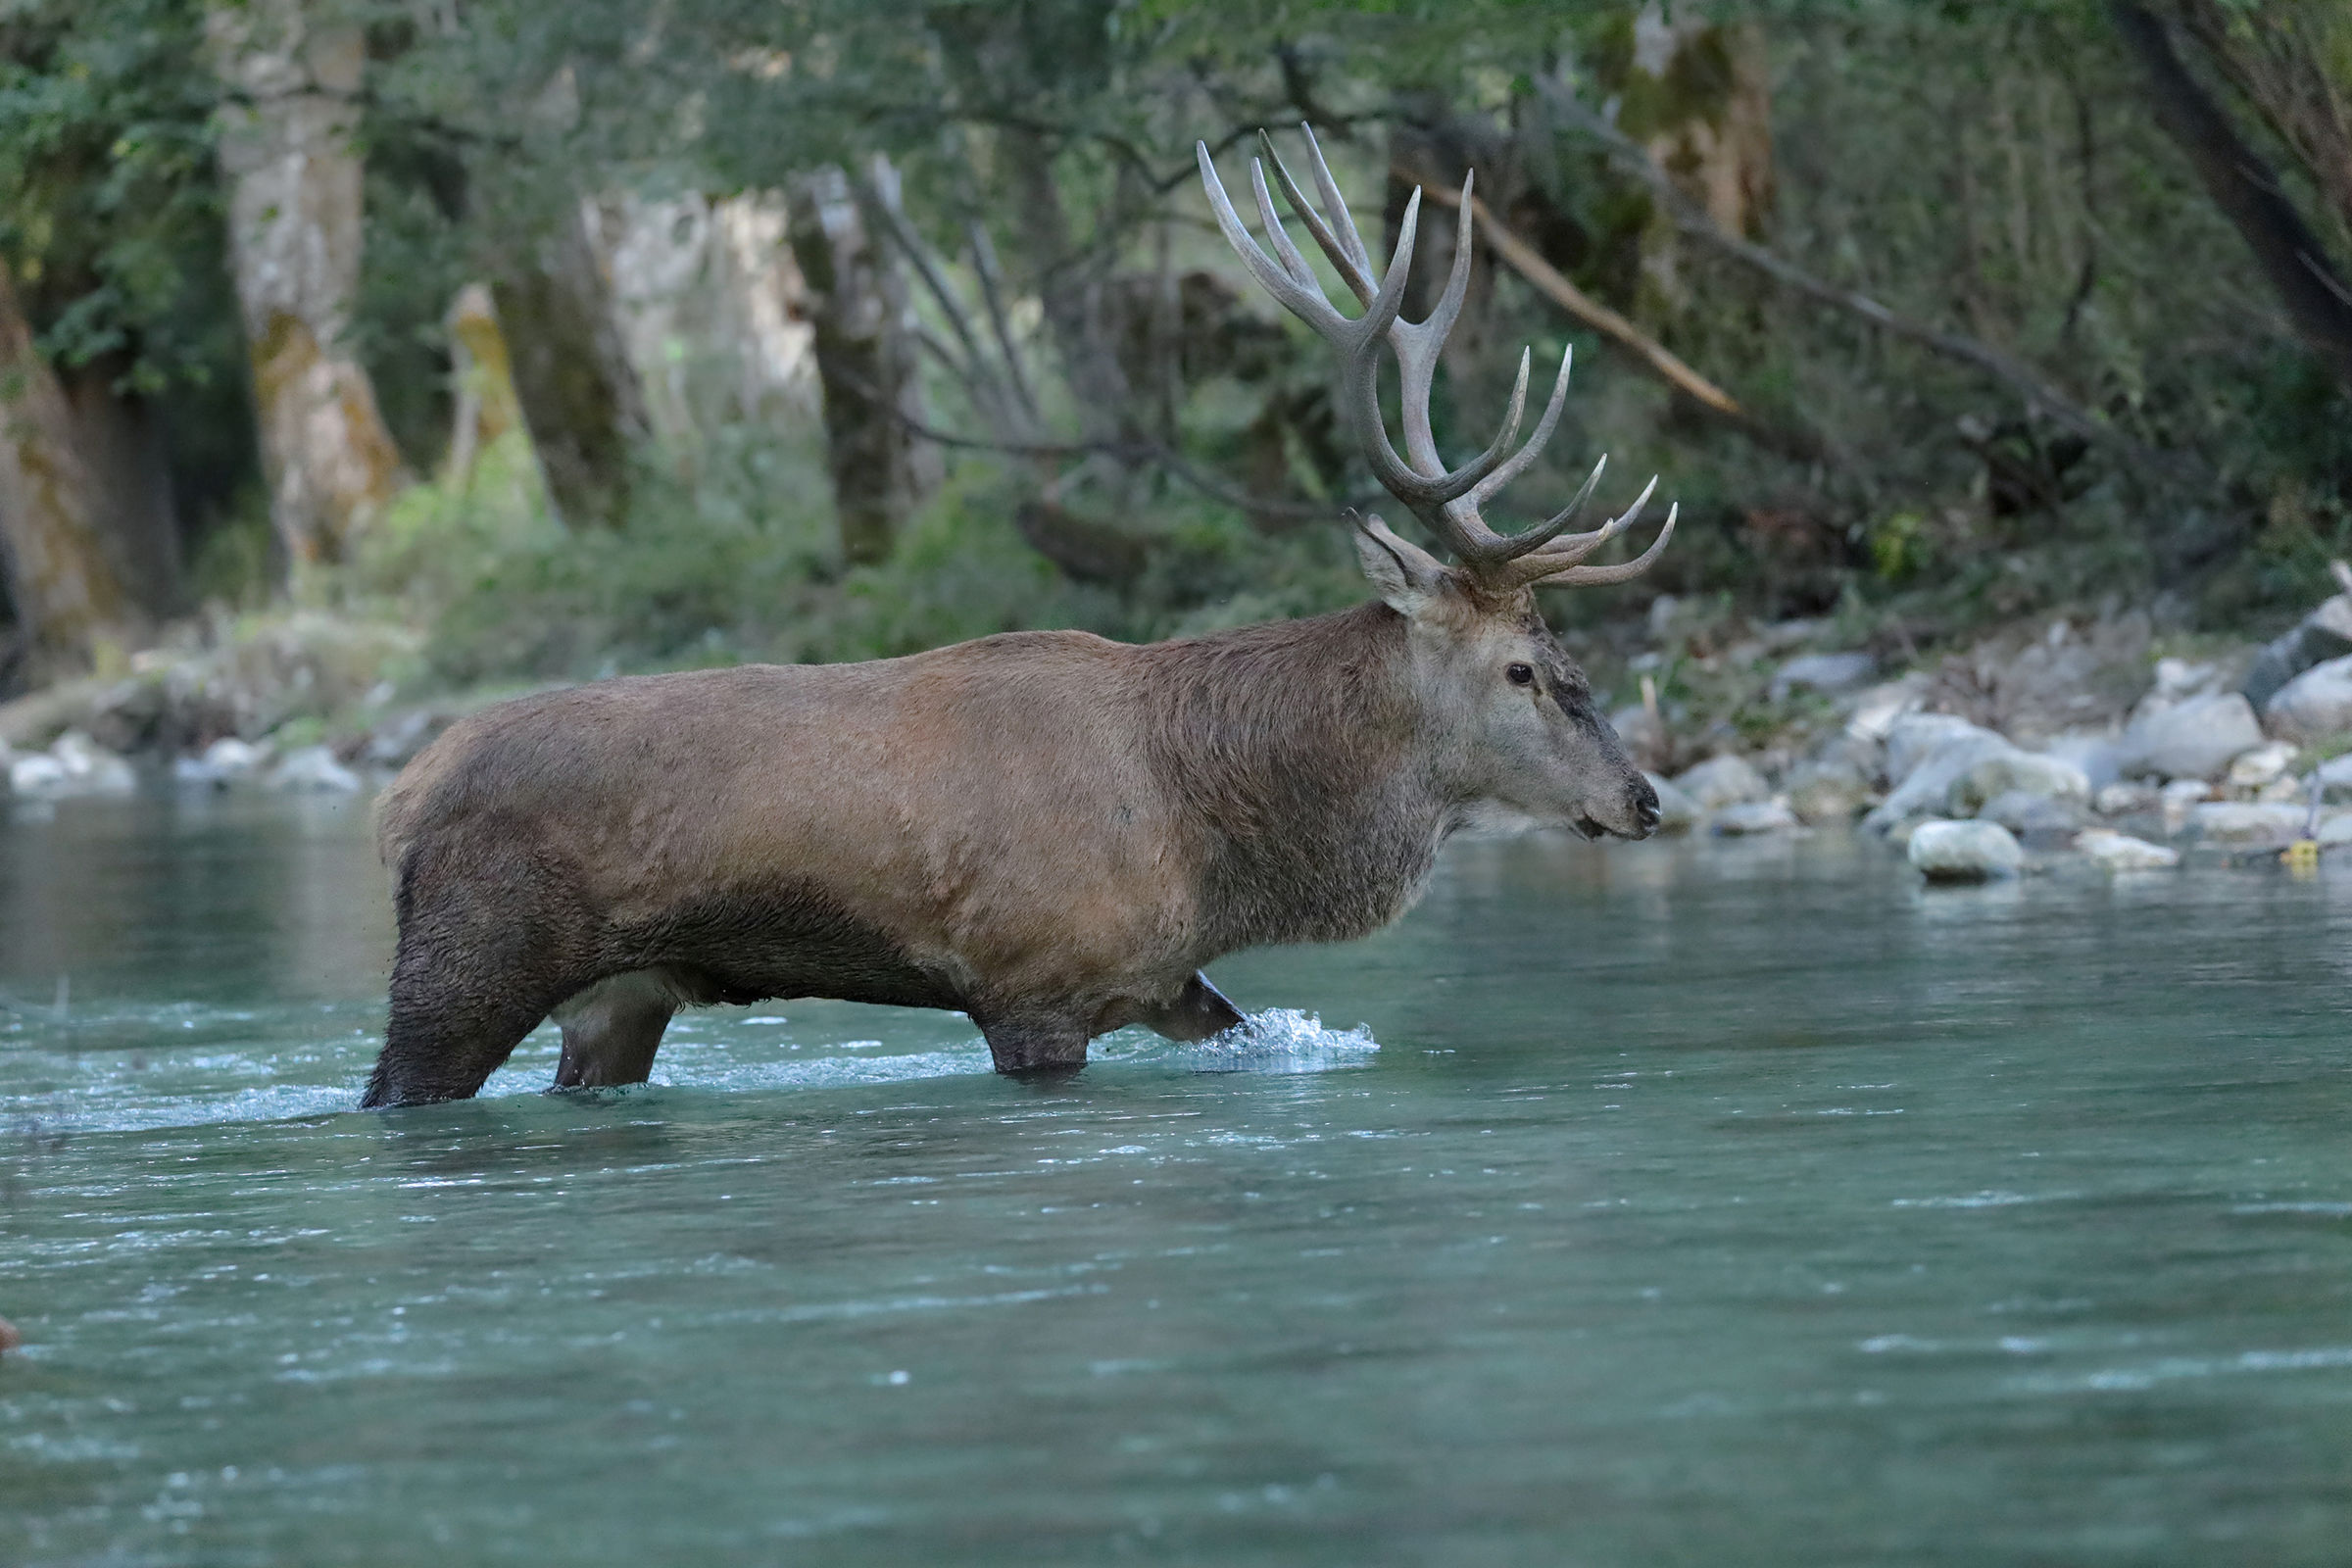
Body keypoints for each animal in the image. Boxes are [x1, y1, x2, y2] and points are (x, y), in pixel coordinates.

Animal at [358, 126, 1674, 1108]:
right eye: (1524, 669)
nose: (1644, 796)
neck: (1214, 837)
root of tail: (404, 789)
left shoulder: (1162, 979)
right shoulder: (1032, 977)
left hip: (623, 995)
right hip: (463, 966)